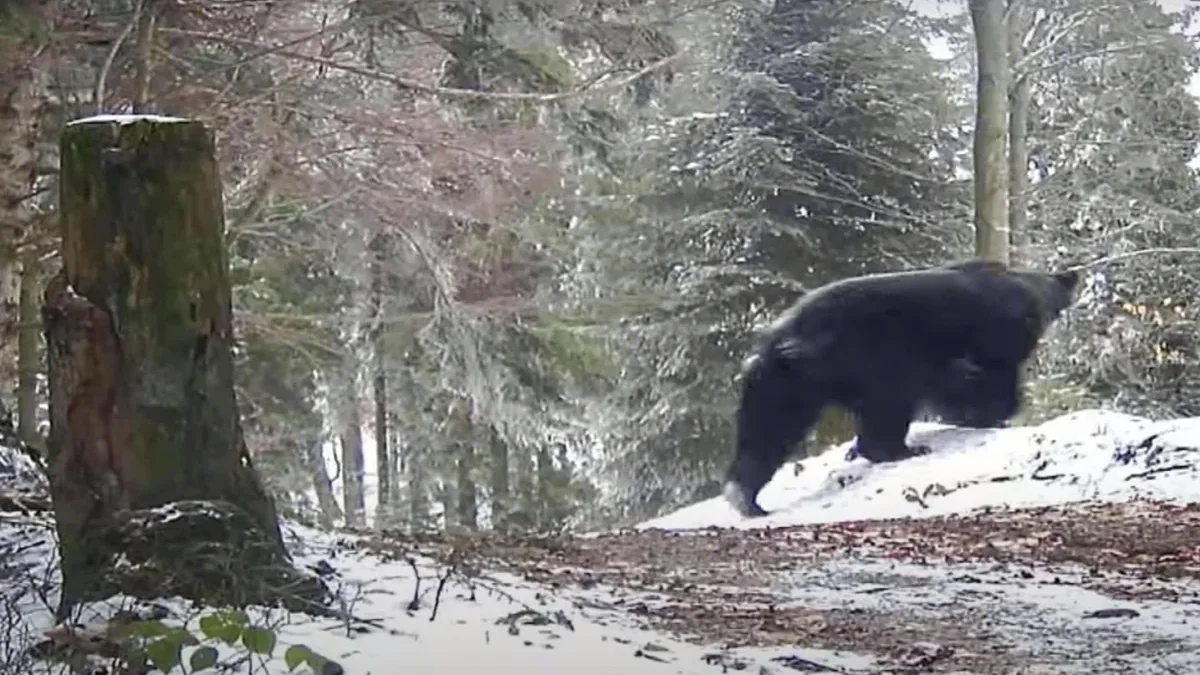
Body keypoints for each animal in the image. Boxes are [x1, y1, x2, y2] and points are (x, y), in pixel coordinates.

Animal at [720, 257, 1080, 514]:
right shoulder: (992, 337)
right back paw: (900, 449)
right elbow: (990, 378)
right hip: (869, 353)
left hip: (782, 383)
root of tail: (784, 340)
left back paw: (745, 496)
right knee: (888, 404)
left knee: (768, 429)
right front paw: (994, 413)